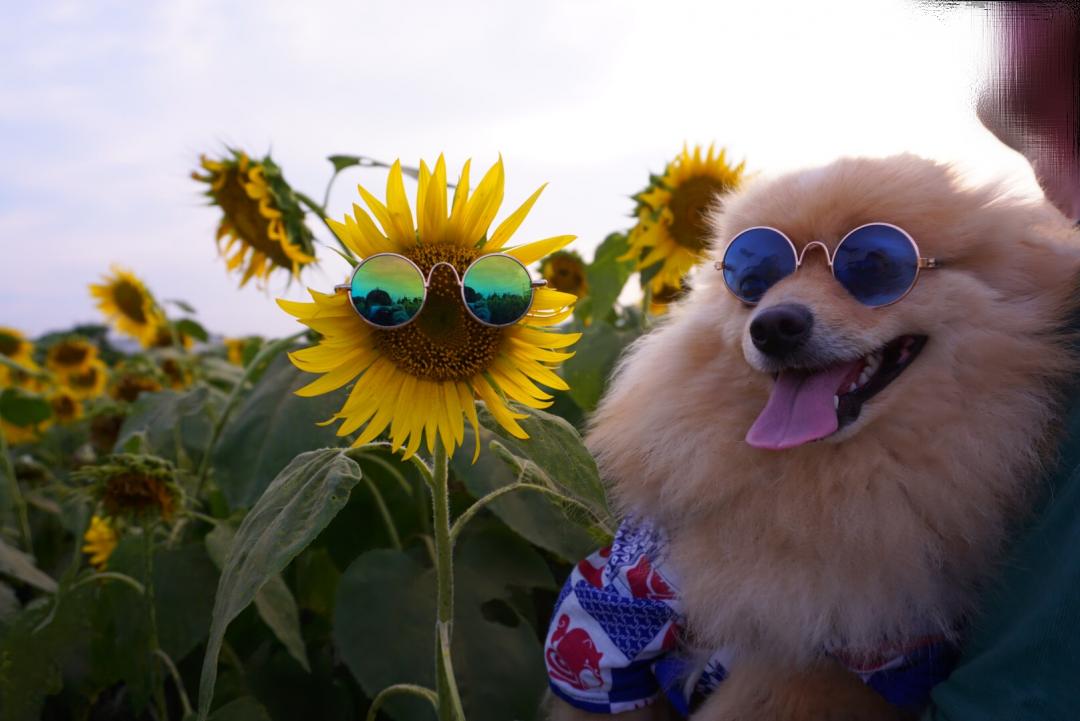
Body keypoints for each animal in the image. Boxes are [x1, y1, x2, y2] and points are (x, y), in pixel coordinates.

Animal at [548, 155, 1080, 716]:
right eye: (753, 279)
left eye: (875, 266)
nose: (773, 325)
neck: (824, 482)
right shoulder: (610, 617)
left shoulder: (874, 658)